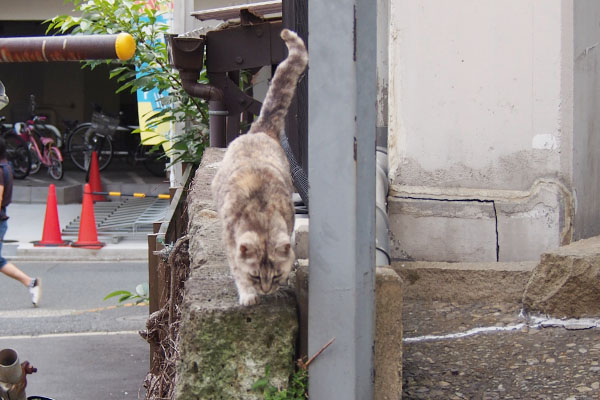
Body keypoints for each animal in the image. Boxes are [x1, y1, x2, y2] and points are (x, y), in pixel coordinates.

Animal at [211, 29, 308, 306]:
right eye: (255, 276)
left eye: (276, 277)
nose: (265, 291)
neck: (261, 214)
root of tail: (262, 128)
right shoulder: (230, 243)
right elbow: (236, 268)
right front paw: (247, 295)